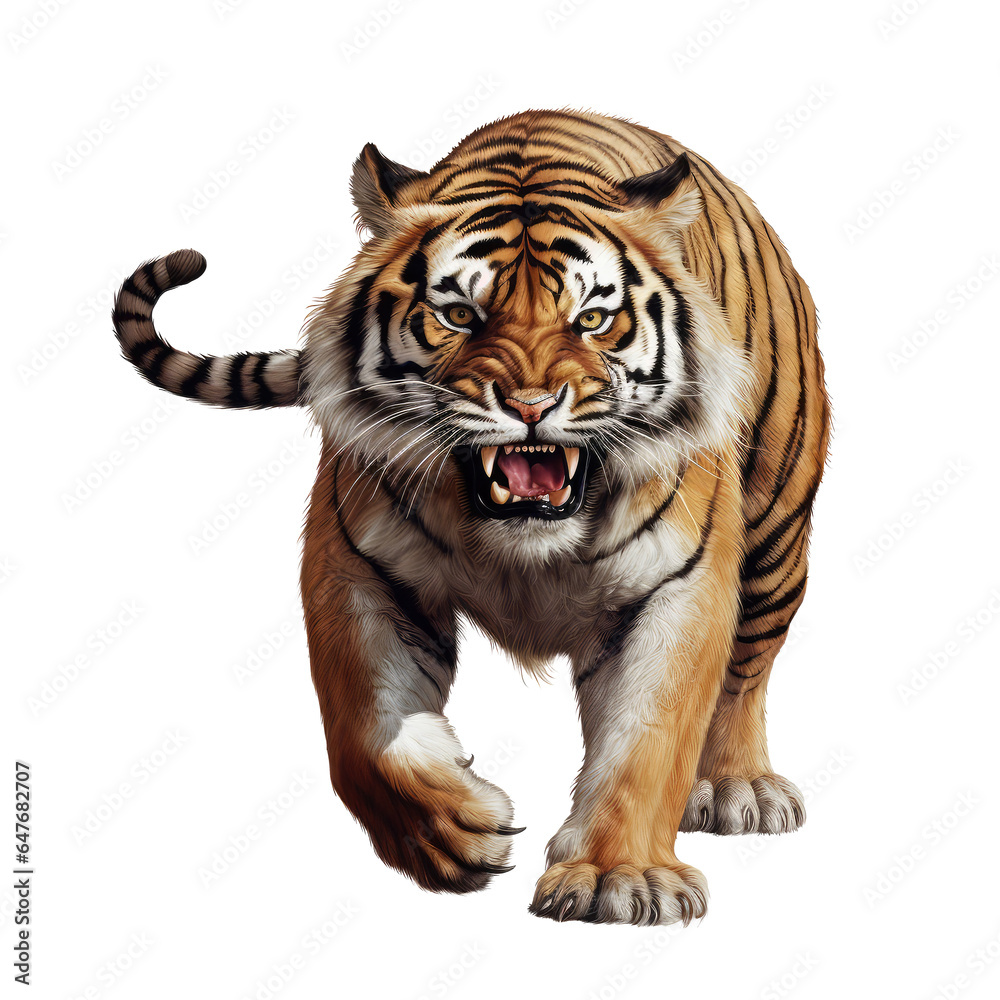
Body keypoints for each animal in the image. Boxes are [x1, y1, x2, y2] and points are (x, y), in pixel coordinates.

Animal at [112, 108, 829, 926]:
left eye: (592, 318)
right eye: (458, 314)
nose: (530, 404)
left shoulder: (677, 586)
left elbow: (649, 739)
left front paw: (619, 878)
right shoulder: (358, 570)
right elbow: (362, 732)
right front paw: (450, 830)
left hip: (777, 525)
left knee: (747, 666)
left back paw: (740, 787)